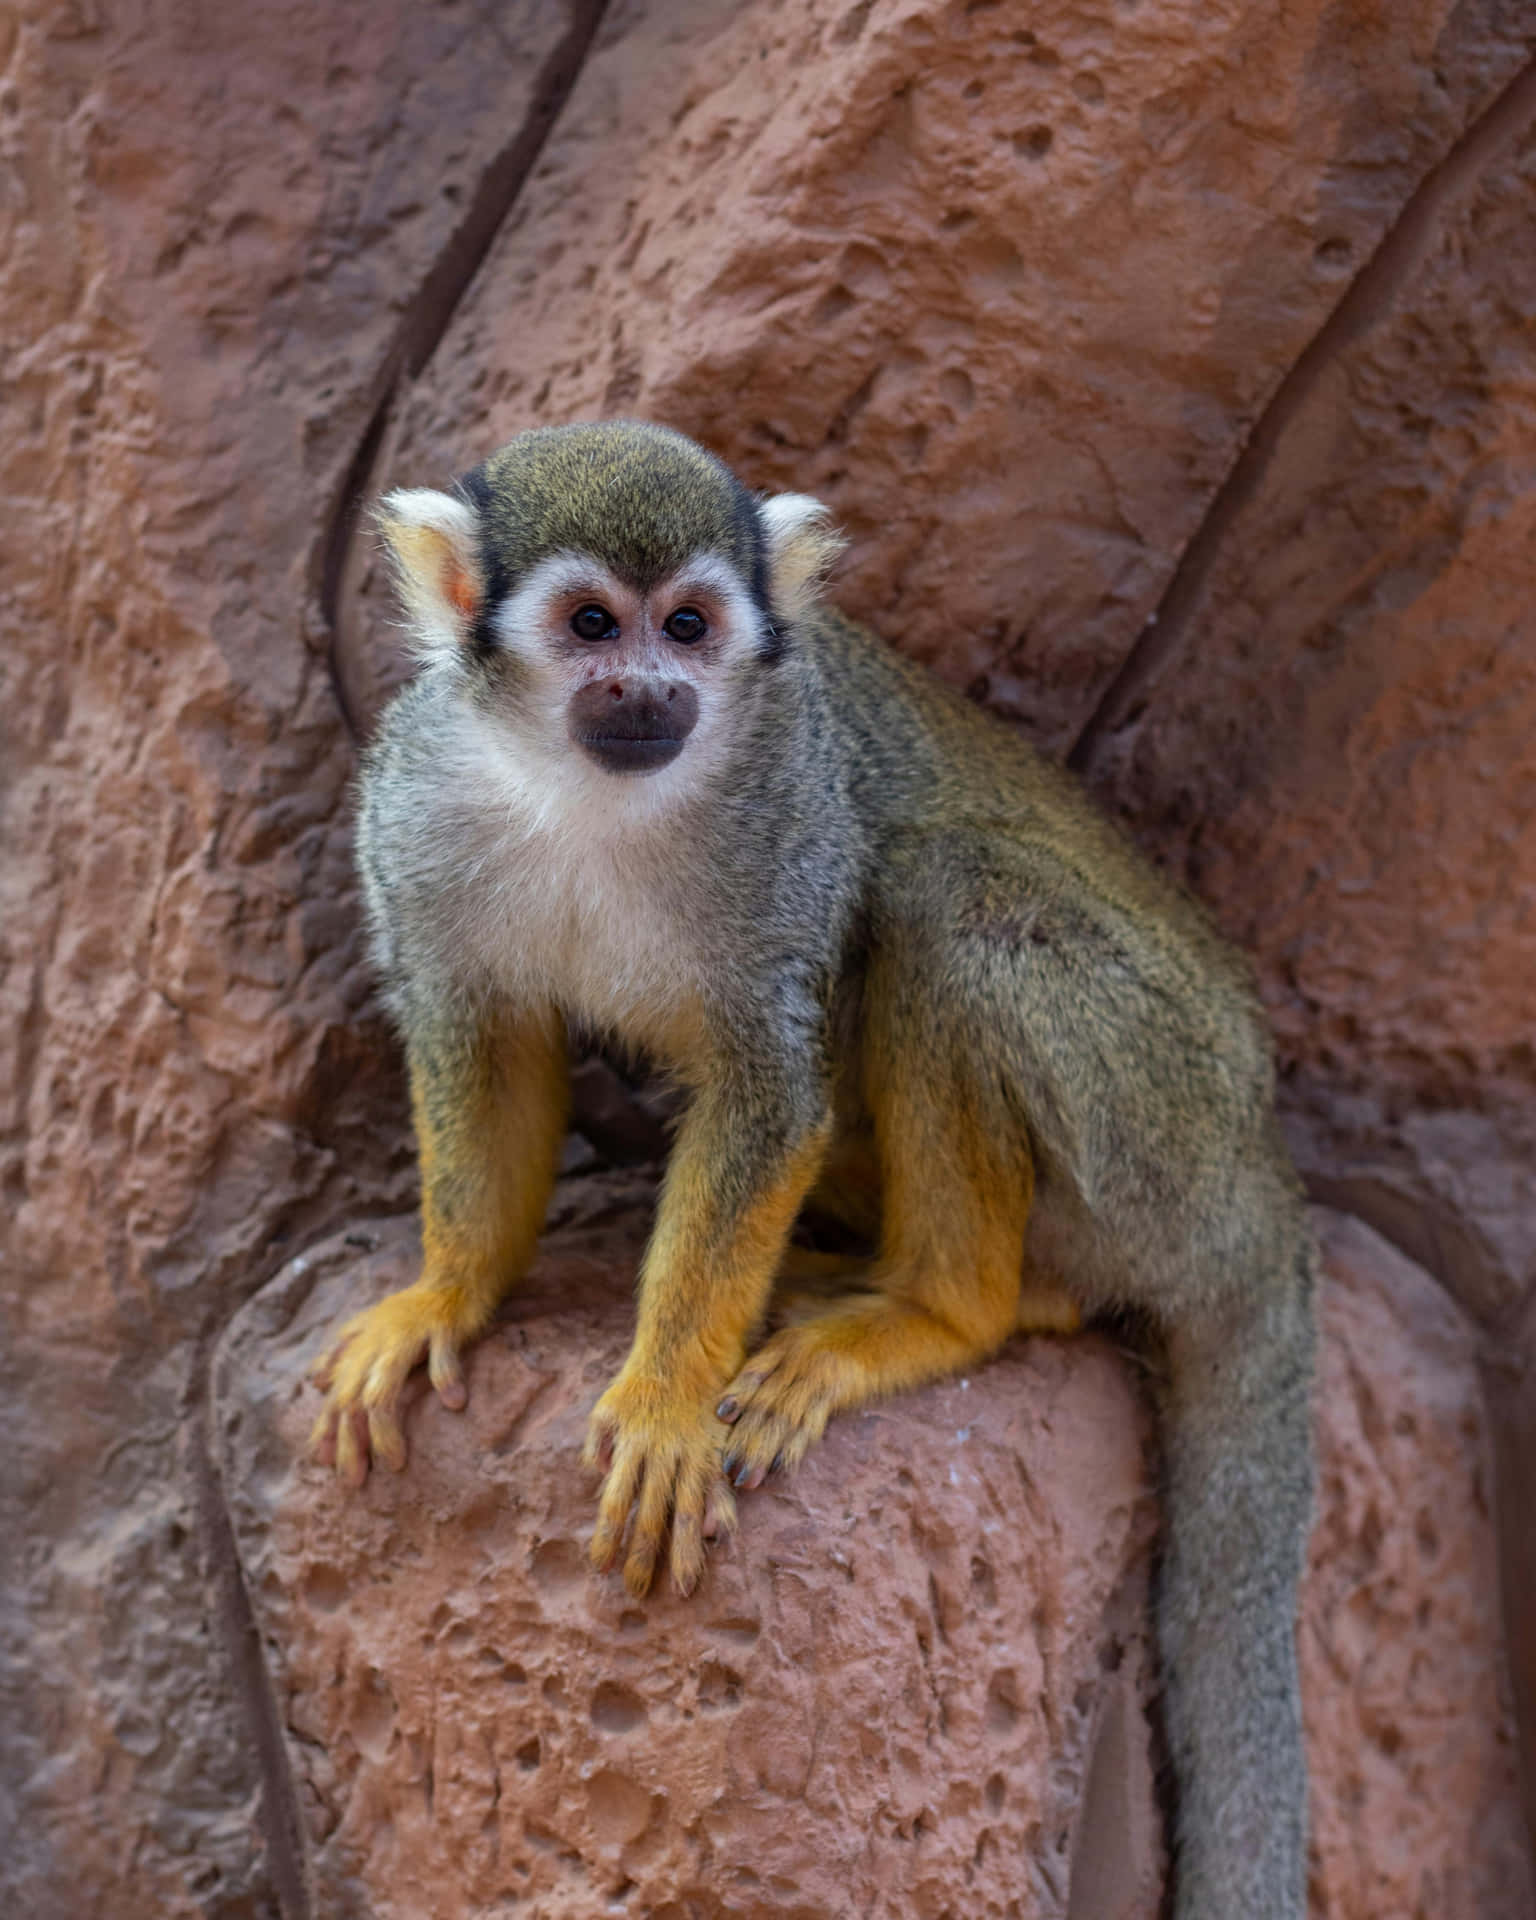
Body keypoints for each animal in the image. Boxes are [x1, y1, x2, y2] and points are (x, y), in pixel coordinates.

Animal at [314, 420, 1320, 1920]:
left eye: (688, 624)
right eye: (591, 624)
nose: (649, 687)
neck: (584, 790)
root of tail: (1262, 1172)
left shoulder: (783, 800)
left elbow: (765, 1085)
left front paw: (665, 1401)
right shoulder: (418, 797)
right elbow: (478, 1036)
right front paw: (450, 1292)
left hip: (1157, 1116)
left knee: (944, 894)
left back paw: (940, 1310)